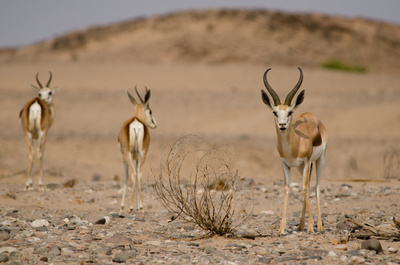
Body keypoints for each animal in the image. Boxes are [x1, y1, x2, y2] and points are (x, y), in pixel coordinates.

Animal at [260, 66, 328, 233]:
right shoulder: (286, 163)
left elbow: (305, 188)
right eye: (275, 112)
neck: (294, 145)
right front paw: (281, 228)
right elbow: (286, 189)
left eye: (290, 112)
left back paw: (318, 226)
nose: (282, 125)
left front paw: (311, 227)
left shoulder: (307, 160)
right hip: (300, 167)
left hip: (319, 161)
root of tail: (313, 116)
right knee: (307, 186)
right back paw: (301, 225)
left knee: (315, 186)